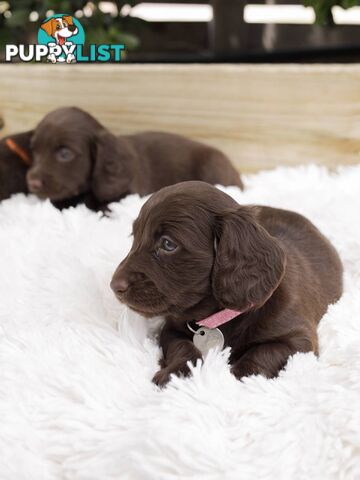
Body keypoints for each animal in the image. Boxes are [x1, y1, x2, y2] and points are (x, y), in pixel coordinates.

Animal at [111, 180, 342, 386]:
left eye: (168, 244)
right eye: (134, 236)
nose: (114, 286)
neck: (219, 316)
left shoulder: (299, 341)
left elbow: (264, 351)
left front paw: (234, 377)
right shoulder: (171, 328)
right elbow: (183, 347)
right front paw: (176, 373)